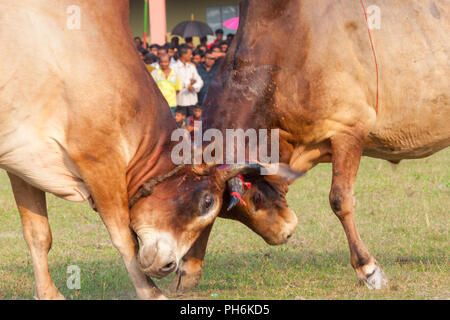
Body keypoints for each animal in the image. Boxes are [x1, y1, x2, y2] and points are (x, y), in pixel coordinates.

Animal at [174, 0, 448, 290]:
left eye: (257, 197)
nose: (283, 233)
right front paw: (188, 270)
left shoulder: (348, 129)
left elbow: (339, 199)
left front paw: (368, 268)